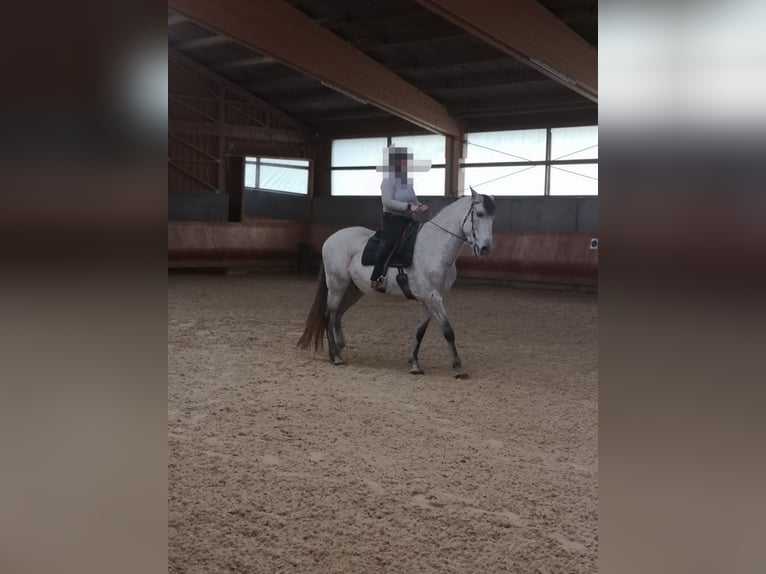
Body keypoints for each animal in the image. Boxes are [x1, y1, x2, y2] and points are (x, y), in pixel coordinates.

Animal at [298, 187, 495, 379]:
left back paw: (338, 350)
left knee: (337, 315)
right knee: (329, 316)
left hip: (353, 291)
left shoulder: (429, 300)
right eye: (479, 214)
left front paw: (414, 364)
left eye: (492, 217)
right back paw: (336, 356)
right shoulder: (432, 297)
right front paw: (459, 368)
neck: (434, 248)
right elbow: (448, 331)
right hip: (337, 287)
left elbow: (420, 332)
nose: (486, 249)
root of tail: (330, 239)